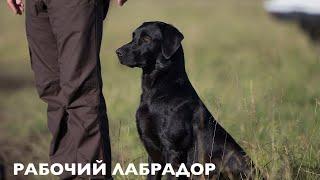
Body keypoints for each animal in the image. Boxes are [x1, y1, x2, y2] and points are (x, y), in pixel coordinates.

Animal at [116, 21, 262, 179]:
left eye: (147, 39)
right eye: (133, 36)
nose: (118, 52)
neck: (156, 92)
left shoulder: (173, 150)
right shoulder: (153, 154)